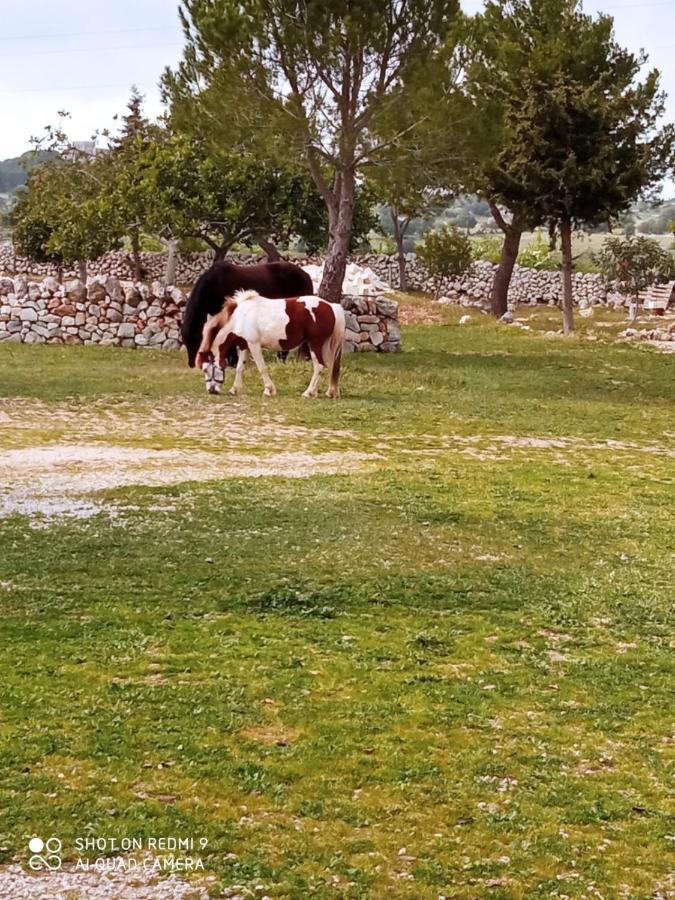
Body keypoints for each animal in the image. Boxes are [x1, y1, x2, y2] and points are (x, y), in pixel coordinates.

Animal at [182, 260, 314, 366]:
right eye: (184, 341)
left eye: (196, 339)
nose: (191, 364)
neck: (215, 284)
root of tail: (306, 275)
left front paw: (233, 362)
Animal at [194, 292, 344, 398]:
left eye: (206, 370)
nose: (211, 391)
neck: (239, 318)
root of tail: (331, 306)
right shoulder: (244, 346)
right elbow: (239, 368)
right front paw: (234, 390)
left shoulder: (254, 345)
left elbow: (262, 367)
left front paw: (269, 390)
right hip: (323, 346)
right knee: (326, 366)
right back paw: (319, 392)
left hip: (314, 344)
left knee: (319, 366)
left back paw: (308, 392)